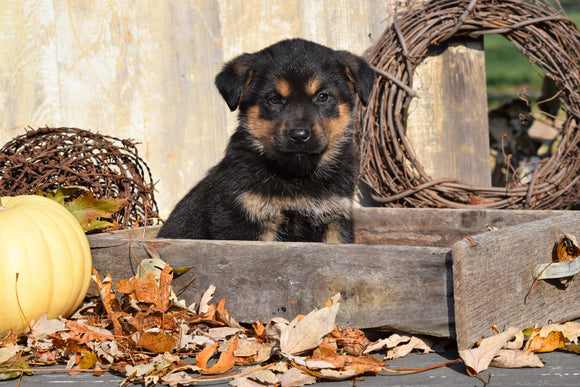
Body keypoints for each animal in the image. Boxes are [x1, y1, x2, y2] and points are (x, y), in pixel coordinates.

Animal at [157, 40, 376, 246]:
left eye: (323, 97)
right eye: (274, 99)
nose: (299, 135)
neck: (297, 173)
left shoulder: (335, 219)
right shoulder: (247, 218)